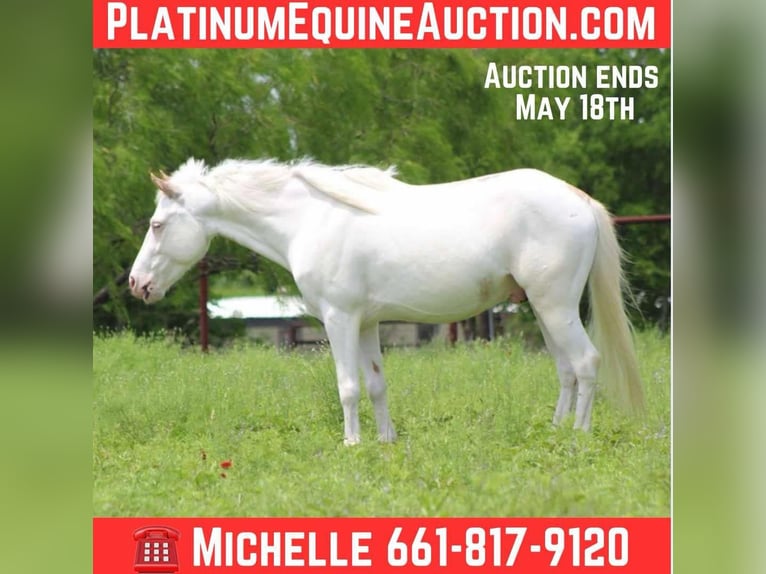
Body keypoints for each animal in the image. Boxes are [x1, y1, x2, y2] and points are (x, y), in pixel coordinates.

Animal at [128, 158, 644, 444]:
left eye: (157, 224)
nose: (137, 283)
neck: (310, 219)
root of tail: (579, 199)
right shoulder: (366, 323)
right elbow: (376, 385)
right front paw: (385, 441)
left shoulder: (338, 320)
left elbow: (348, 387)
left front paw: (352, 444)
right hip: (542, 309)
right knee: (566, 371)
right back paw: (553, 432)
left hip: (555, 307)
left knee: (586, 363)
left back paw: (577, 437)